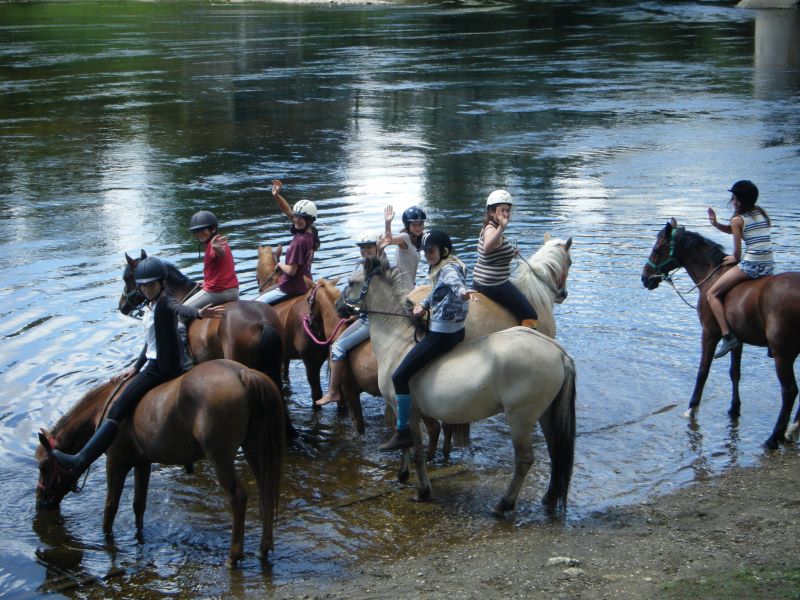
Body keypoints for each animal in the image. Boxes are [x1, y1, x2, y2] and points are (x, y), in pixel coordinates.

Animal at [35, 359, 286, 567]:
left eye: (43, 466)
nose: (41, 502)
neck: (104, 406)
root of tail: (241, 373)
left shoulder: (116, 463)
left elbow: (110, 508)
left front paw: (105, 539)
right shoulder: (142, 463)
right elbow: (138, 505)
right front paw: (139, 536)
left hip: (220, 457)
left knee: (238, 497)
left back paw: (234, 555)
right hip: (254, 447)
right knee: (266, 489)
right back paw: (264, 548)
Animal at [342, 258, 577, 514]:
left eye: (351, 282)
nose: (338, 307)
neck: (397, 343)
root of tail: (558, 352)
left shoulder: (408, 410)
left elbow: (416, 451)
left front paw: (422, 491)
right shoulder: (404, 411)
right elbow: (407, 446)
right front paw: (403, 475)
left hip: (521, 418)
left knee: (525, 460)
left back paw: (504, 504)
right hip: (546, 413)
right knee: (556, 451)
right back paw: (549, 498)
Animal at [641, 219, 800, 449]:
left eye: (656, 248)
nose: (645, 278)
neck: (712, 275)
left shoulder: (709, 334)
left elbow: (702, 372)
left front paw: (691, 409)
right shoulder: (737, 340)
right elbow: (735, 373)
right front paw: (734, 409)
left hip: (782, 353)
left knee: (789, 391)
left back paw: (774, 437)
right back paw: (792, 429)